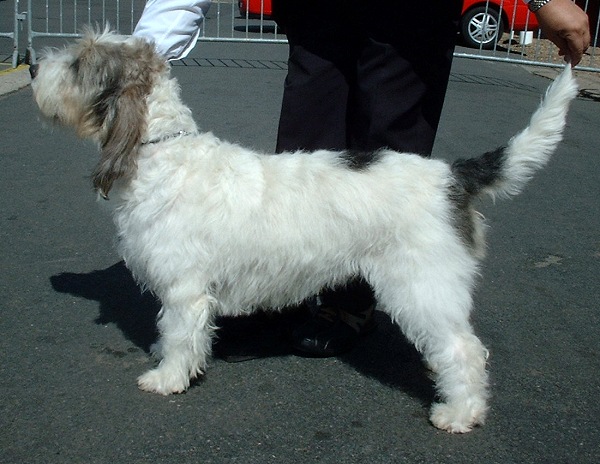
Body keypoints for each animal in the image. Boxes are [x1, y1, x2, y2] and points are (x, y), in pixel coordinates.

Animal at [30, 29, 580, 434]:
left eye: (79, 63)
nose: (33, 67)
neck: (163, 151)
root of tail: (452, 174)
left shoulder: (185, 290)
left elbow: (180, 335)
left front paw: (166, 378)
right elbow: (176, 334)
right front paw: (167, 362)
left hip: (421, 283)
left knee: (465, 349)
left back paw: (459, 412)